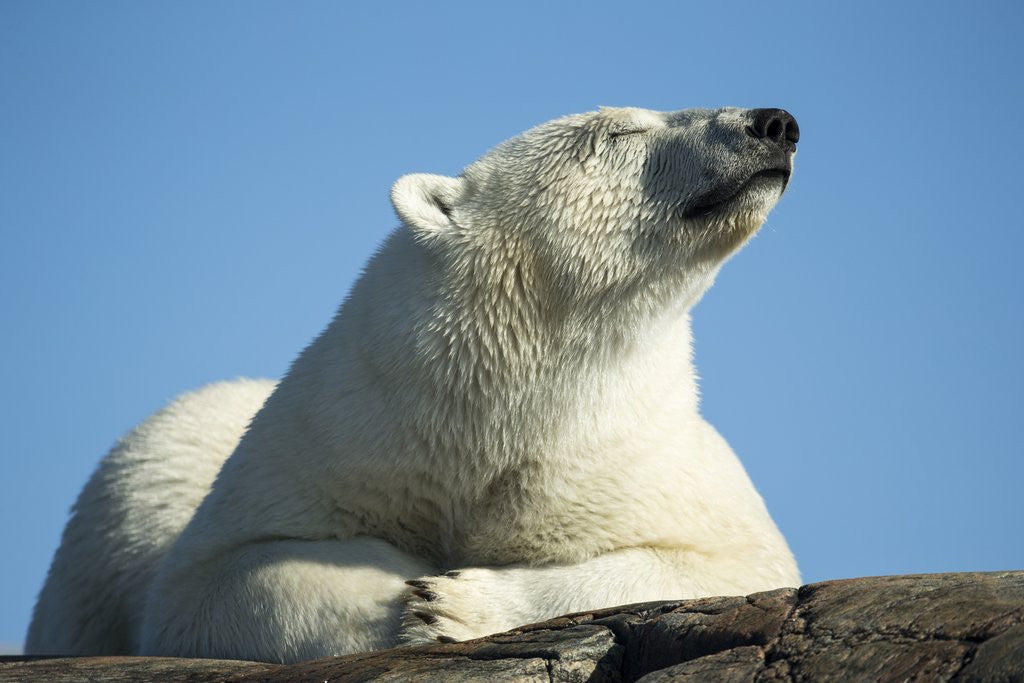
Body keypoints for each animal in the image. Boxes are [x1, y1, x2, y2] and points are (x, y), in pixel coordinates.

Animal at [27, 105, 801, 664]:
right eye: (622, 131)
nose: (774, 122)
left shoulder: (641, 468)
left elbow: (726, 565)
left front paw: (460, 604)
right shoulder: (337, 436)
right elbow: (219, 579)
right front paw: (414, 595)